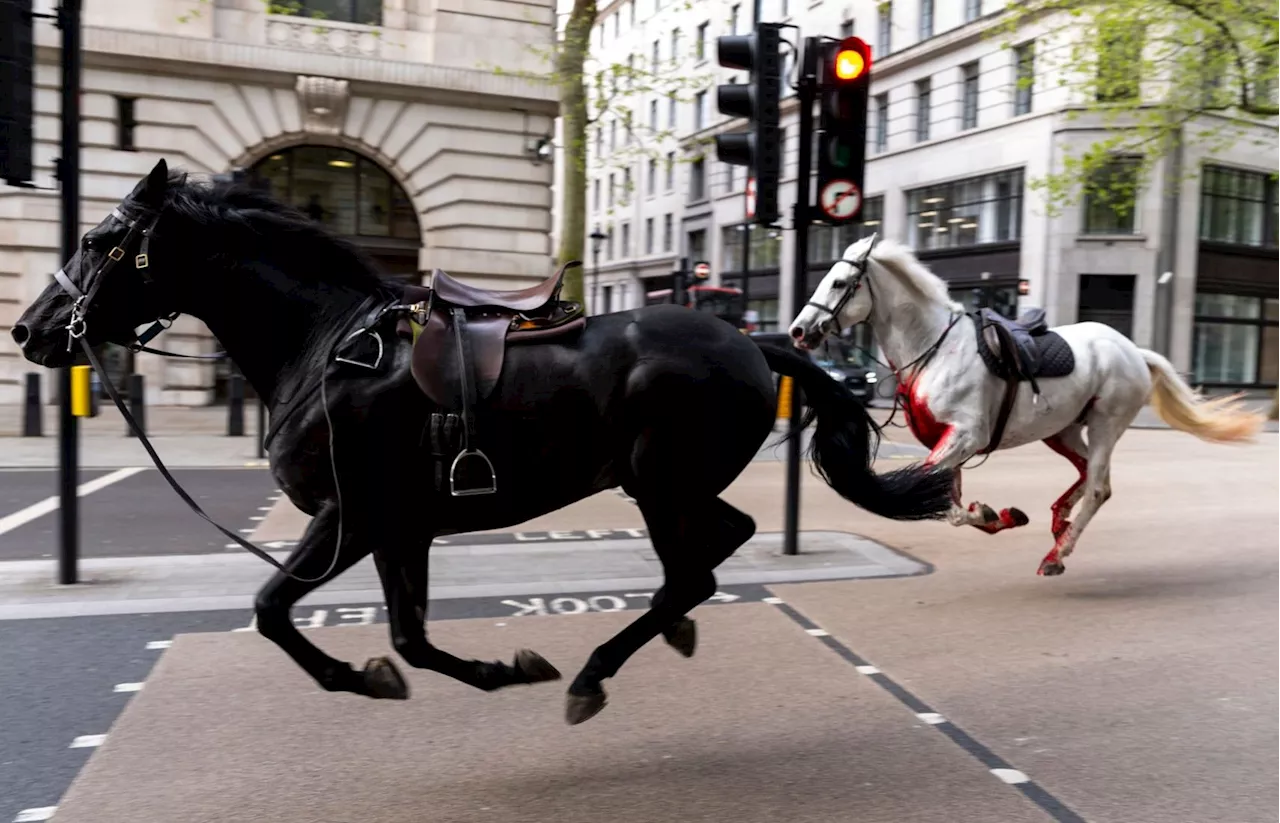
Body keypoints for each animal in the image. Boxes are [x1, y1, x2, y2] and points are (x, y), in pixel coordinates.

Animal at [7, 162, 952, 727]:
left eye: (98, 241)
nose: (29, 329)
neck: (326, 346)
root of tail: (754, 342)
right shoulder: (399, 527)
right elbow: (408, 637)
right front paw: (487, 668)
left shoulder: (350, 518)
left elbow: (274, 608)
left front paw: (372, 676)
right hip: (667, 482)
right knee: (718, 546)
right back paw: (664, 631)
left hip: (657, 481)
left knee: (695, 569)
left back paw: (595, 672)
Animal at [783, 235, 1264, 575]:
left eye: (840, 282)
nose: (799, 331)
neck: (935, 348)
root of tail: (1132, 349)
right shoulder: (949, 440)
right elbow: (947, 500)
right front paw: (997, 515)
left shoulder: (965, 435)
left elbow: (940, 500)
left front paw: (990, 513)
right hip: (1063, 429)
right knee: (1088, 474)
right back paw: (1059, 522)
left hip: (1106, 423)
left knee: (1098, 487)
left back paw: (1057, 553)